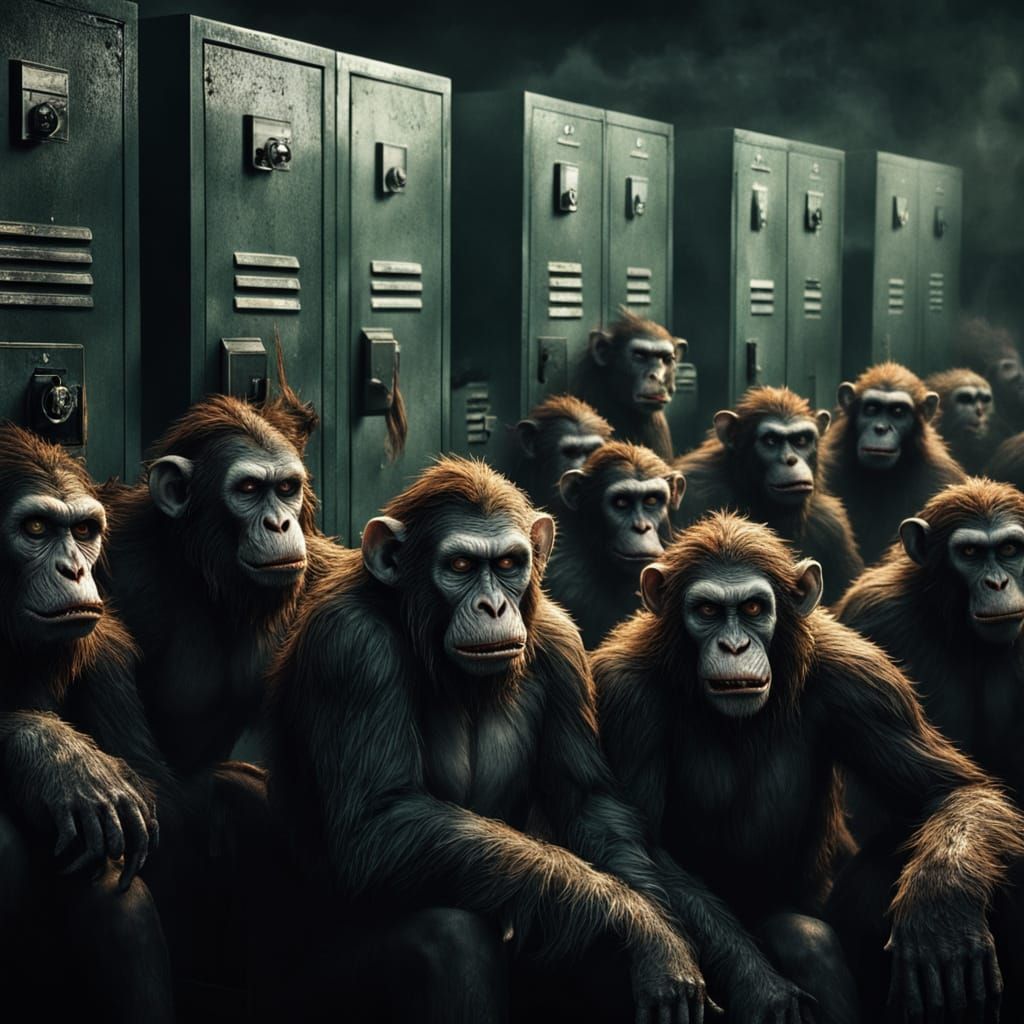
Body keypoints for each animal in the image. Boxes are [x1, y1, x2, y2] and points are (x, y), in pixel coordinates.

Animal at [594, 511, 1024, 1023]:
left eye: (754, 608)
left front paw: (941, 911)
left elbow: (949, 790)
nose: (734, 646)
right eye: (707, 611)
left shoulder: (864, 682)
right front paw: (763, 990)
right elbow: (645, 849)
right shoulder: (626, 699)